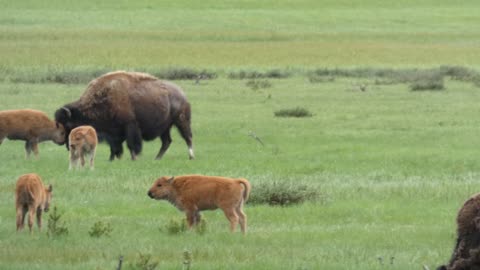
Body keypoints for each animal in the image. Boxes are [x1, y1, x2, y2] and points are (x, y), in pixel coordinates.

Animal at [54, 70, 193, 161]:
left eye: (68, 124)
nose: (65, 143)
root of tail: (182, 94)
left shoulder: (129, 126)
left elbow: (131, 144)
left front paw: (133, 158)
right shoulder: (114, 132)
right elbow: (114, 146)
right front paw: (112, 159)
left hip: (181, 121)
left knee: (188, 137)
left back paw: (191, 156)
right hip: (165, 127)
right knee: (166, 142)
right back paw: (157, 158)